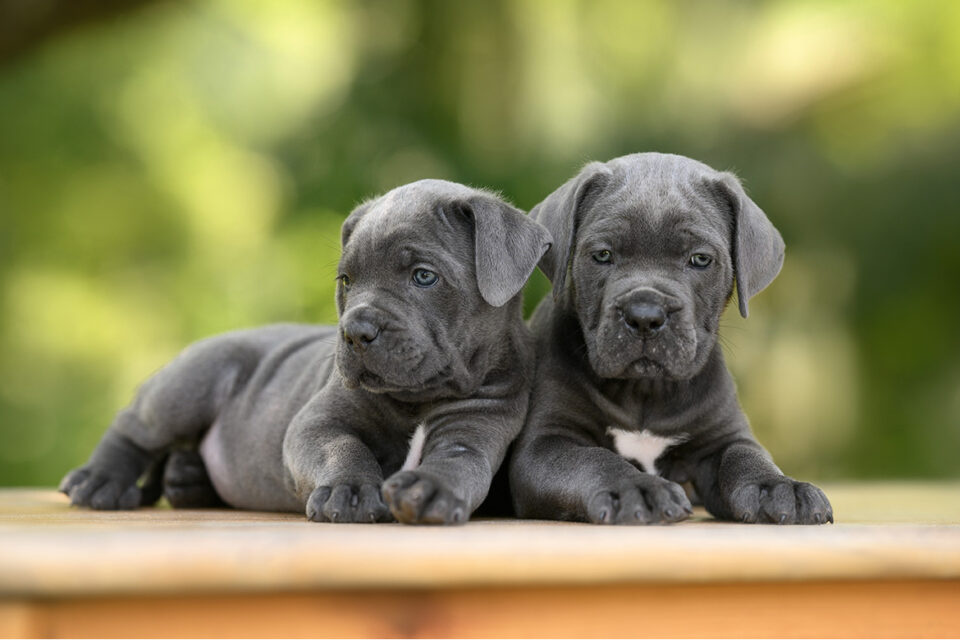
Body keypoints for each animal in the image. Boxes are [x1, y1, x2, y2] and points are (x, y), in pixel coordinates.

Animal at [60, 178, 552, 524]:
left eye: (424, 276)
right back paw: (100, 480)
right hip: (190, 383)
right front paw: (349, 490)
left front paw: (430, 488)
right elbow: (342, 446)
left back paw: (188, 477)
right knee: (134, 427)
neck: (419, 400)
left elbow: (458, 461)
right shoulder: (315, 422)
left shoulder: (478, 425)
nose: (356, 332)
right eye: (346, 281)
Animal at [510, 154, 832, 524]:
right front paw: (636, 487)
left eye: (700, 259)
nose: (645, 315)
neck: (645, 391)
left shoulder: (723, 436)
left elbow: (746, 457)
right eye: (603, 255)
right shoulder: (545, 444)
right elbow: (592, 460)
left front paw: (780, 487)